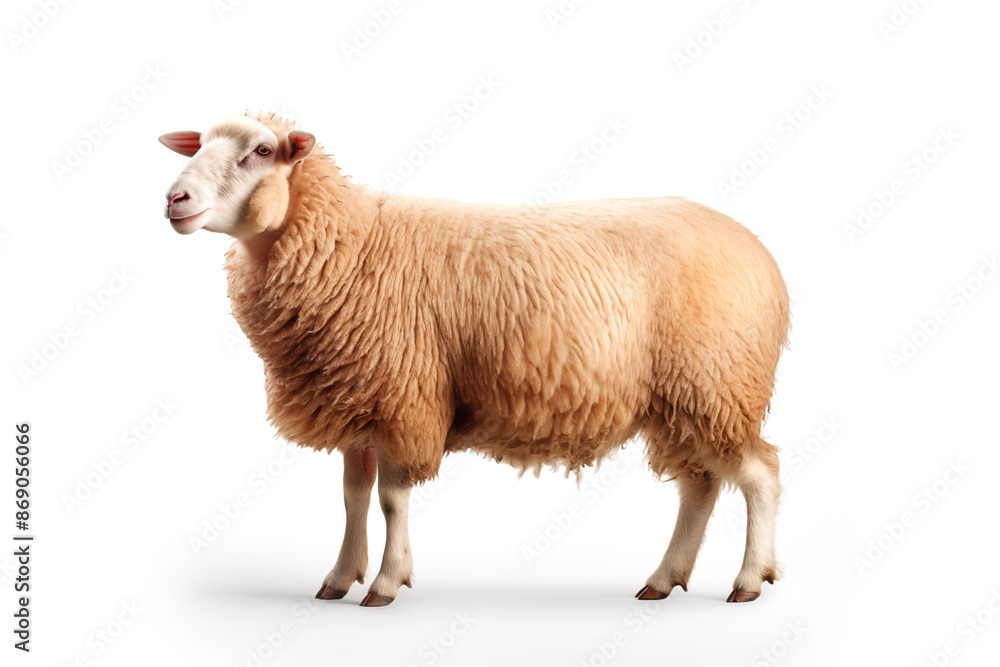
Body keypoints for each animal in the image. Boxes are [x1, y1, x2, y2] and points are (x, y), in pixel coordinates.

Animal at [159, 111, 790, 607]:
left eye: (261, 152)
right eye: (200, 145)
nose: (174, 199)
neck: (352, 244)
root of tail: (758, 251)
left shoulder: (405, 399)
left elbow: (390, 500)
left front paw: (385, 583)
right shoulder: (358, 402)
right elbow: (353, 498)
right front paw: (339, 578)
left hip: (717, 381)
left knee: (759, 474)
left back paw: (748, 581)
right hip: (682, 398)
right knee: (700, 487)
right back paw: (663, 579)